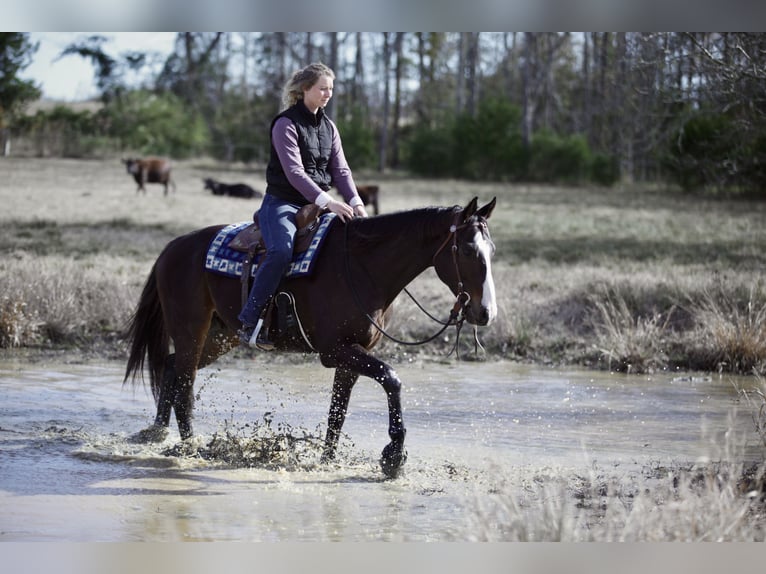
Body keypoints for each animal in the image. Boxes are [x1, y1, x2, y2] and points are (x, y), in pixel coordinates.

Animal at [123, 196, 497, 478]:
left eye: (491, 251)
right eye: (466, 250)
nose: (486, 313)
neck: (362, 268)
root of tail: (173, 247)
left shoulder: (350, 356)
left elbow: (337, 412)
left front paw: (327, 460)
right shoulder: (335, 350)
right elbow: (391, 378)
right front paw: (393, 456)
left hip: (219, 336)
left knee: (172, 367)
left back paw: (159, 432)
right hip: (191, 330)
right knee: (185, 384)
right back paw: (188, 447)